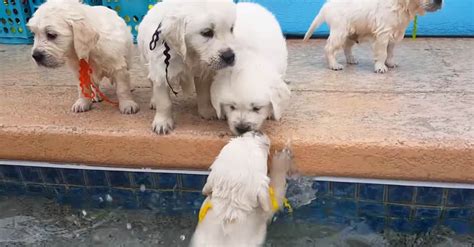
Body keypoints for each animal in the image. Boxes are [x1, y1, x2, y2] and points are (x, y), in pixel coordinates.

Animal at [212, 2, 292, 135]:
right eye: (232, 107)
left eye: (257, 108)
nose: (241, 129)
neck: (248, 57)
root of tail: (249, 3)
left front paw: (272, 113)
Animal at [304, 0, 444, 73]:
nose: (439, 1)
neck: (401, 5)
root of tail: (326, 6)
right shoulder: (383, 34)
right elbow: (382, 53)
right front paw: (380, 67)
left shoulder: (393, 35)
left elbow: (390, 52)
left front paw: (390, 63)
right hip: (340, 32)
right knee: (329, 48)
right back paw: (334, 65)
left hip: (351, 33)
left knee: (346, 47)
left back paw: (351, 59)